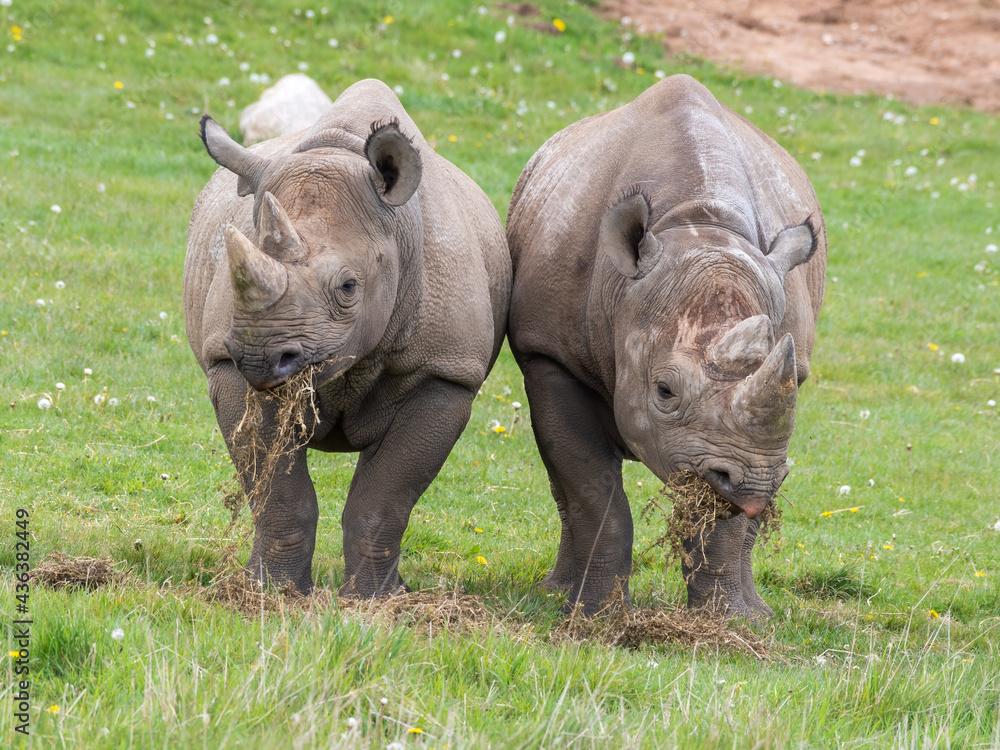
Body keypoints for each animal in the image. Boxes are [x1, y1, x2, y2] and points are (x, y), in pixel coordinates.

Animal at [184, 79, 511, 598]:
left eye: (349, 287)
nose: (260, 358)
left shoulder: (444, 374)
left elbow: (384, 499)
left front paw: (376, 600)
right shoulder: (225, 362)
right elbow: (277, 492)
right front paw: (272, 593)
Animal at [506, 75, 827, 618]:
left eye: (799, 392)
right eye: (664, 391)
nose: (754, 485)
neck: (697, 226)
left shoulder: (755, 439)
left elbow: (726, 520)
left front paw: (729, 622)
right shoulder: (549, 353)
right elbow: (593, 489)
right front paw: (596, 613)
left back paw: (759, 613)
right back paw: (555, 594)